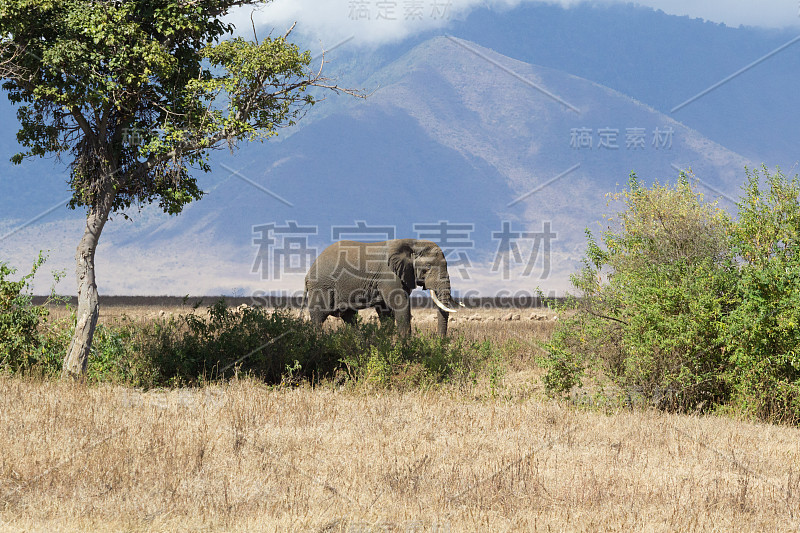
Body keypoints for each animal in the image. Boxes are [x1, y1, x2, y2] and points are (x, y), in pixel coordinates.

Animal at [304, 238, 460, 334]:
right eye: (427, 268)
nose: (439, 343)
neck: (413, 243)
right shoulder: (389, 276)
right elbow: (400, 306)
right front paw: (405, 348)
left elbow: (386, 312)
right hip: (322, 287)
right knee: (319, 318)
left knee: (349, 318)